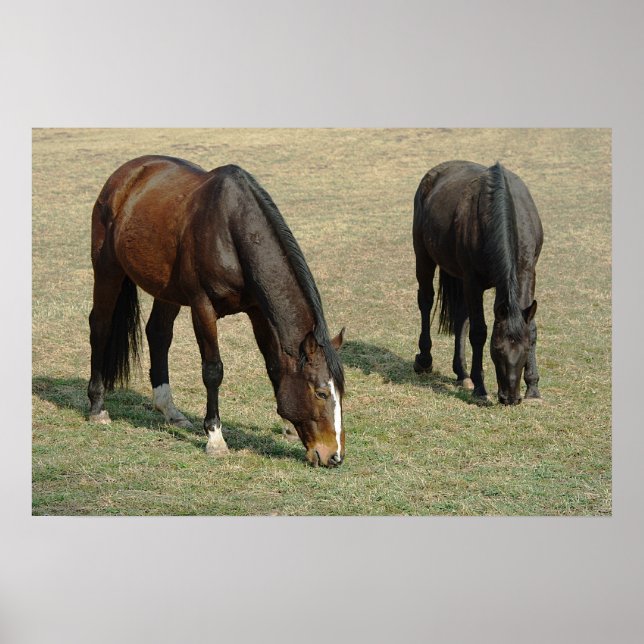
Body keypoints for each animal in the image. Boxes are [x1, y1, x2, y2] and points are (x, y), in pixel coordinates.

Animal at [87, 155, 345, 467]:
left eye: (341, 392)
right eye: (320, 393)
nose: (334, 456)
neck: (232, 230)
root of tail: (125, 175)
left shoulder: (257, 311)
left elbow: (274, 365)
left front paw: (288, 428)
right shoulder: (203, 307)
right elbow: (213, 370)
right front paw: (215, 438)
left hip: (167, 290)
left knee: (158, 334)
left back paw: (169, 410)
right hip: (107, 270)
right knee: (100, 327)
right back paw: (97, 407)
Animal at [412, 160, 543, 405]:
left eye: (524, 350)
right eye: (497, 350)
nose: (510, 398)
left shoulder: (528, 274)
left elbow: (530, 327)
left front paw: (533, 389)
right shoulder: (473, 282)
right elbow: (478, 332)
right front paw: (481, 389)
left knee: (460, 318)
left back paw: (462, 373)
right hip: (424, 256)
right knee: (426, 301)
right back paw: (424, 360)